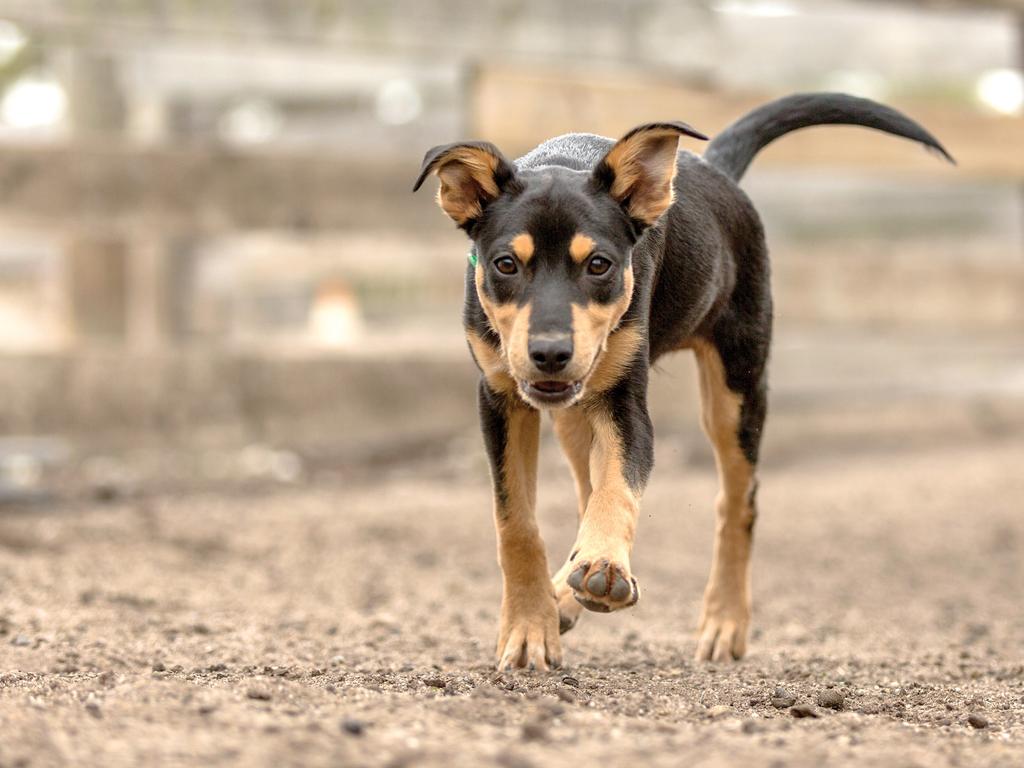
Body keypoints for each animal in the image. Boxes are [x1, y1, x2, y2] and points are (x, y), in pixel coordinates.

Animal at [409, 93, 950, 671]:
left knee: (737, 501)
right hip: (578, 412)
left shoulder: (626, 404)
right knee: (586, 488)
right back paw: (569, 589)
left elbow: (618, 488)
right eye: (506, 264)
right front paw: (532, 627)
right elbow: (517, 521)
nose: (550, 354)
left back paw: (721, 621)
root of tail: (718, 170)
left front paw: (603, 571)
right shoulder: (500, 398)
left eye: (599, 264)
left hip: (735, 386)